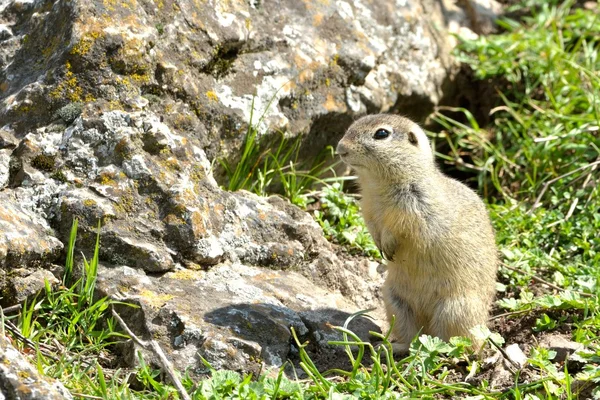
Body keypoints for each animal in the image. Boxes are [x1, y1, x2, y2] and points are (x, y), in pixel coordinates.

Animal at [338, 113, 496, 350]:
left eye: (381, 133)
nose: (340, 148)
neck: (377, 185)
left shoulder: (413, 208)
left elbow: (400, 229)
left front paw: (388, 247)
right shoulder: (368, 208)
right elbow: (373, 227)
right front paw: (380, 247)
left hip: (455, 310)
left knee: (458, 344)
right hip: (396, 303)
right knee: (413, 338)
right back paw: (392, 347)